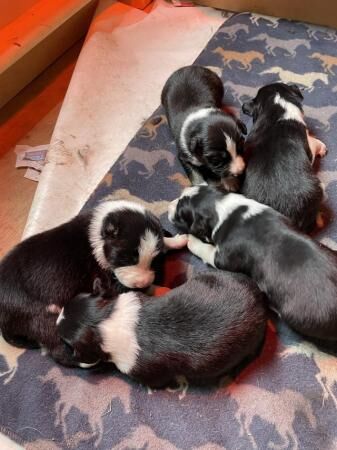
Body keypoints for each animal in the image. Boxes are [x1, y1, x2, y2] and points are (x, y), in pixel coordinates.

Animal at [0, 199, 186, 368]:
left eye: (155, 259)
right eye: (125, 258)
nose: (142, 282)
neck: (99, 234)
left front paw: (178, 240)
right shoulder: (109, 280)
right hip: (43, 316)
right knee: (57, 349)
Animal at [168, 185, 337, 342]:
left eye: (180, 214)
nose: (169, 205)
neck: (223, 208)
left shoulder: (224, 257)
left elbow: (205, 250)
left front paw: (190, 239)